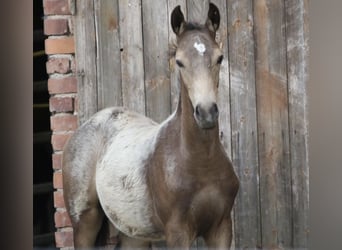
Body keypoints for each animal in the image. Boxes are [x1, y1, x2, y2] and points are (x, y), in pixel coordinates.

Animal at [62, 3, 239, 250]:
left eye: (220, 58)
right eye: (179, 61)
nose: (206, 113)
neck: (200, 163)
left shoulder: (221, 227)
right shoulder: (177, 232)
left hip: (133, 231)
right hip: (84, 221)